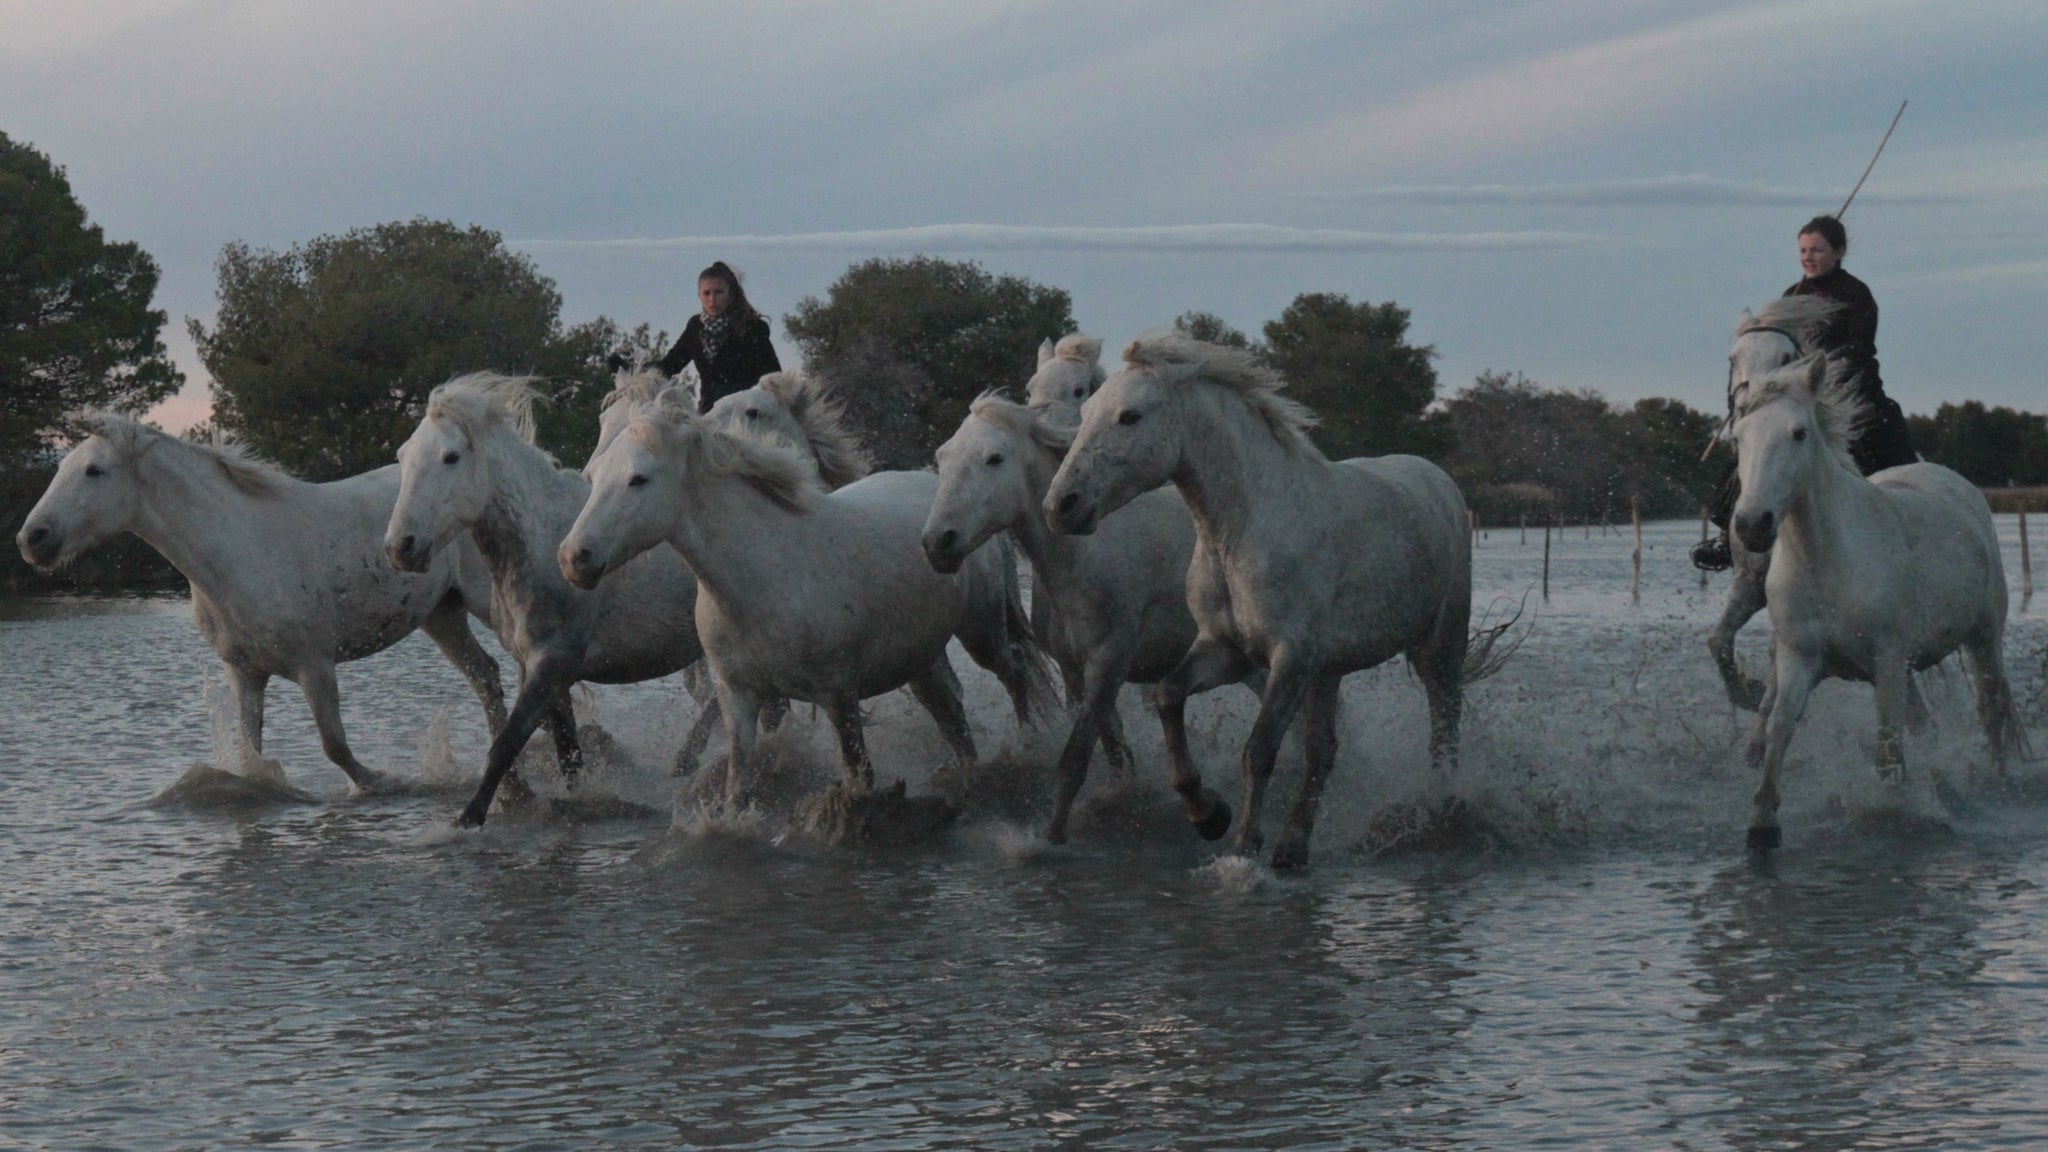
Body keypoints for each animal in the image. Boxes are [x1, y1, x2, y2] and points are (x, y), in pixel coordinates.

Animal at [15, 415, 508, 792]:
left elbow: (336, 747)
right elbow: (249, 754)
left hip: (485, 601)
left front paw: (384, 783)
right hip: (442, 614)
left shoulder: (315, 665)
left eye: (94, 470)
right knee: (485, 675)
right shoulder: (245, 672)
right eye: (64, 465)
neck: (242, 551)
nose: (32, 539)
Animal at [386, 374, 723, 824]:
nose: (400, 547)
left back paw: (687, 758)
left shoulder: (552, 662)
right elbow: (567, 752)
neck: (542, 545)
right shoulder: (543, 670)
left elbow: (506, 744)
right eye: (403, 456)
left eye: (451, 457)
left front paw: (468, 819)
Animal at [558, 392, 1056, 811]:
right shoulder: (739, 696)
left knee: (1014, 671)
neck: (763, 575)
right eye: (594, 478)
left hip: (982, 630)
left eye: (639, 479)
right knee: (951, 715)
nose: (573, 558)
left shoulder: (839, 695)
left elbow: (860, 775)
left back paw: (1029, 748)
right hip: (923, 659)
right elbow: (737, 781)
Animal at [1044, 333, 1471, 868]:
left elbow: (1260, 749)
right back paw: (1292, 848)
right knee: (1324, 751)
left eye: (1130, 416)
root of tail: (1441, 481)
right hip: (1328, 672)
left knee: (1444, 730)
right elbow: (1168, 696)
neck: (1241, 532)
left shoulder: (1289, 658)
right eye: (1087, 410)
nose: (1061, 506)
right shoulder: (1227, 649)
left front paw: (1244, 847)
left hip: (1439, 649)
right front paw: (1207, 815)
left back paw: (1439, 807)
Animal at [1728, 356, 2023, 850]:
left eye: (1799, 433)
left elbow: (1888, 741)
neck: (1827, 561)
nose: (1753, 524)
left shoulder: (1886, 660)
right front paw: (1762, 822)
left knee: (1992, 708)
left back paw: (2001, 783)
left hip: (1983, 639)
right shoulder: (1797, 657)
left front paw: (1893, 812)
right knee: (1932, 722)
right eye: (1738, 437)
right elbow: (1780, 725)